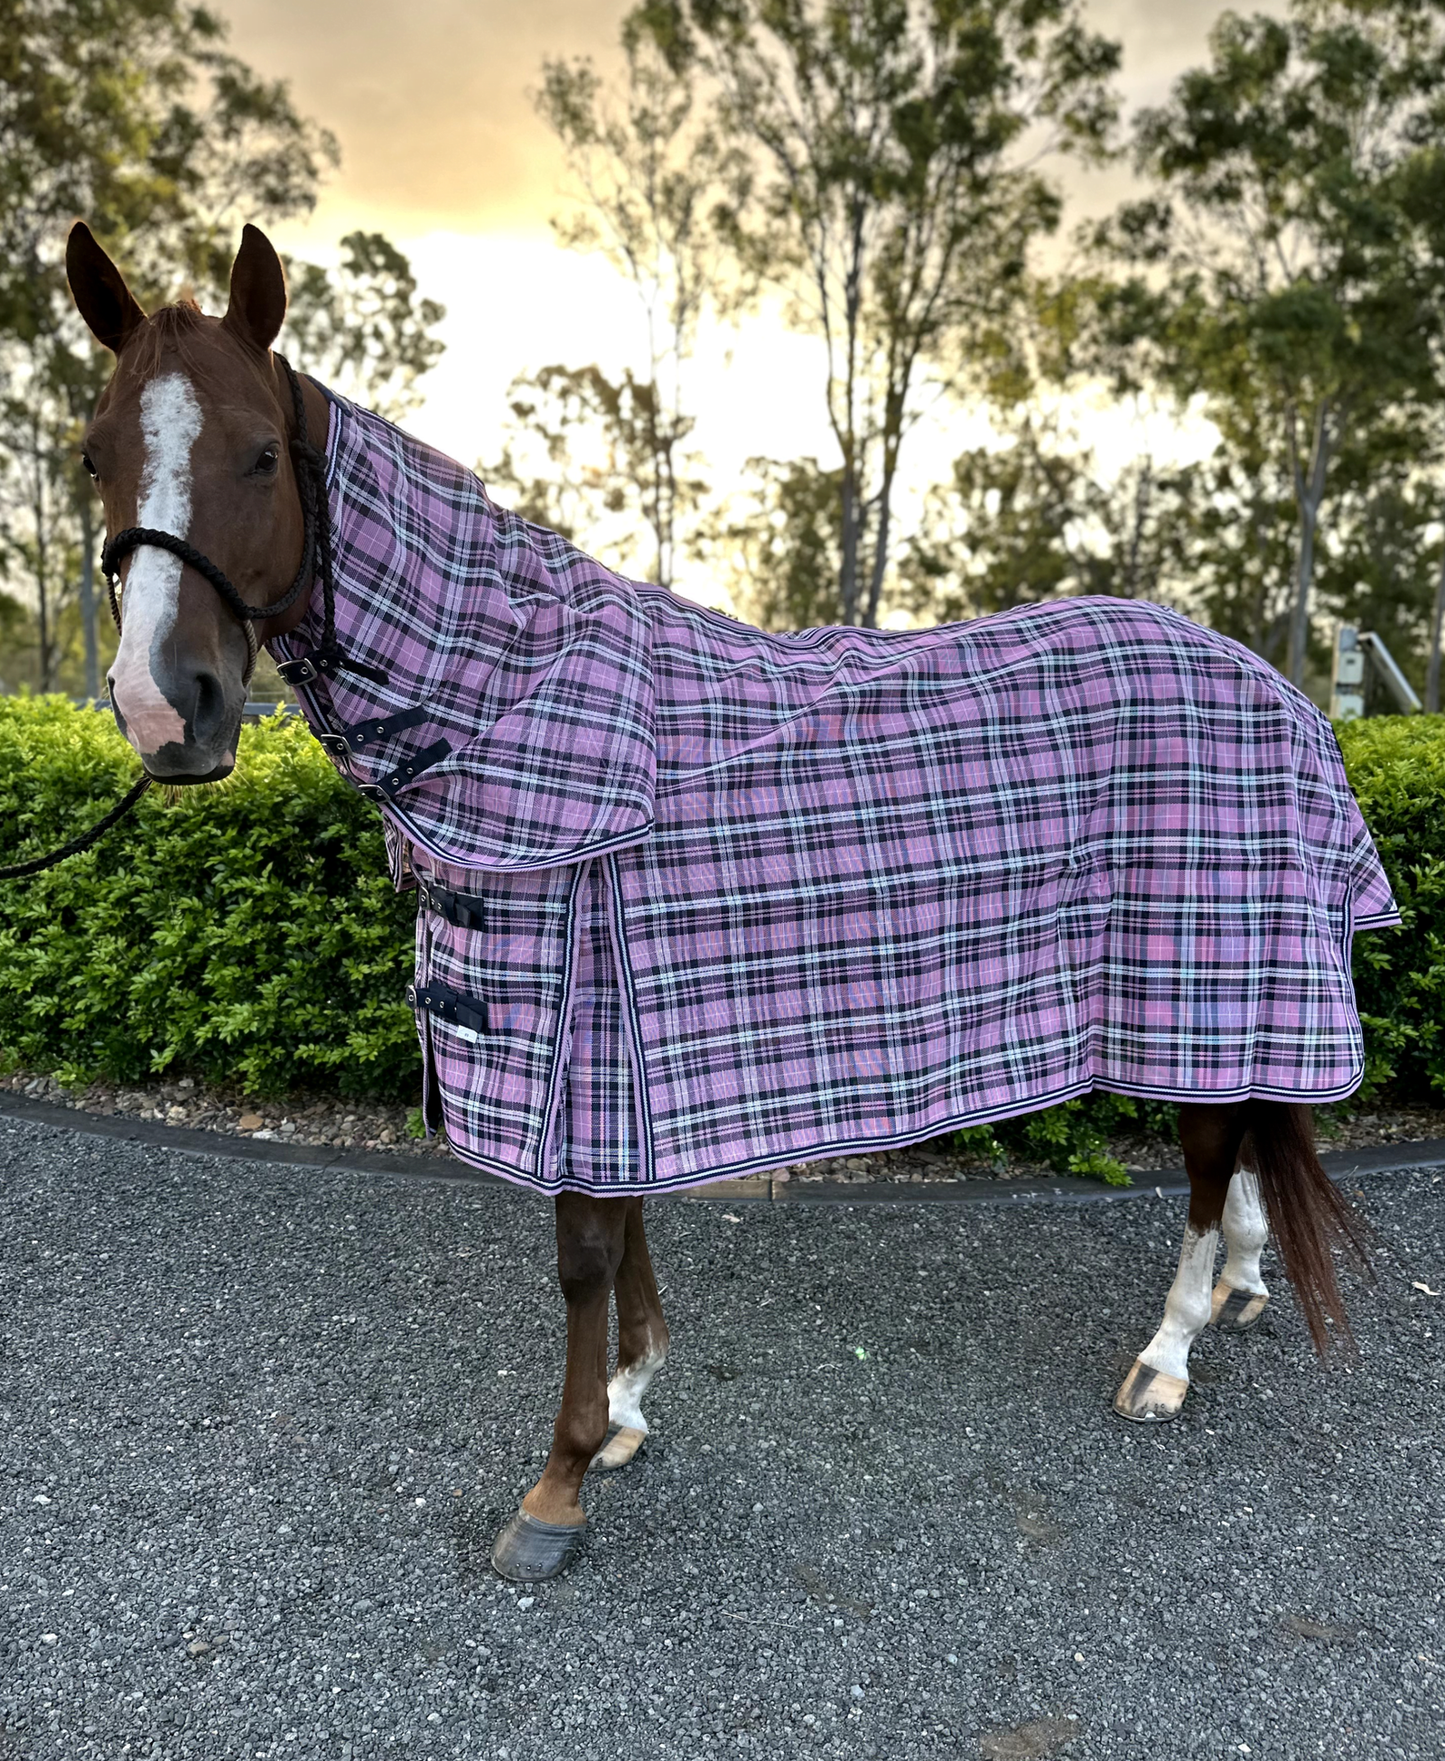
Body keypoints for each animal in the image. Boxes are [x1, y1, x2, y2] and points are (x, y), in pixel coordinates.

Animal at [67, 216, 1400, 1584]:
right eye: (93, 453)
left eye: (259, 452)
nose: (163, 708)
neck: (511, 694)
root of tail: (1273, 684)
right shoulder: (614, 1045)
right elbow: (621, 1233)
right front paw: (625, 1410)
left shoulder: (579, 1024)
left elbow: (583, 1255)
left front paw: (557, 1483)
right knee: (1246, 1123)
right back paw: (1241, 1283)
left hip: (1210, 962)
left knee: (1206, 1151)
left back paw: (1168, 1349)